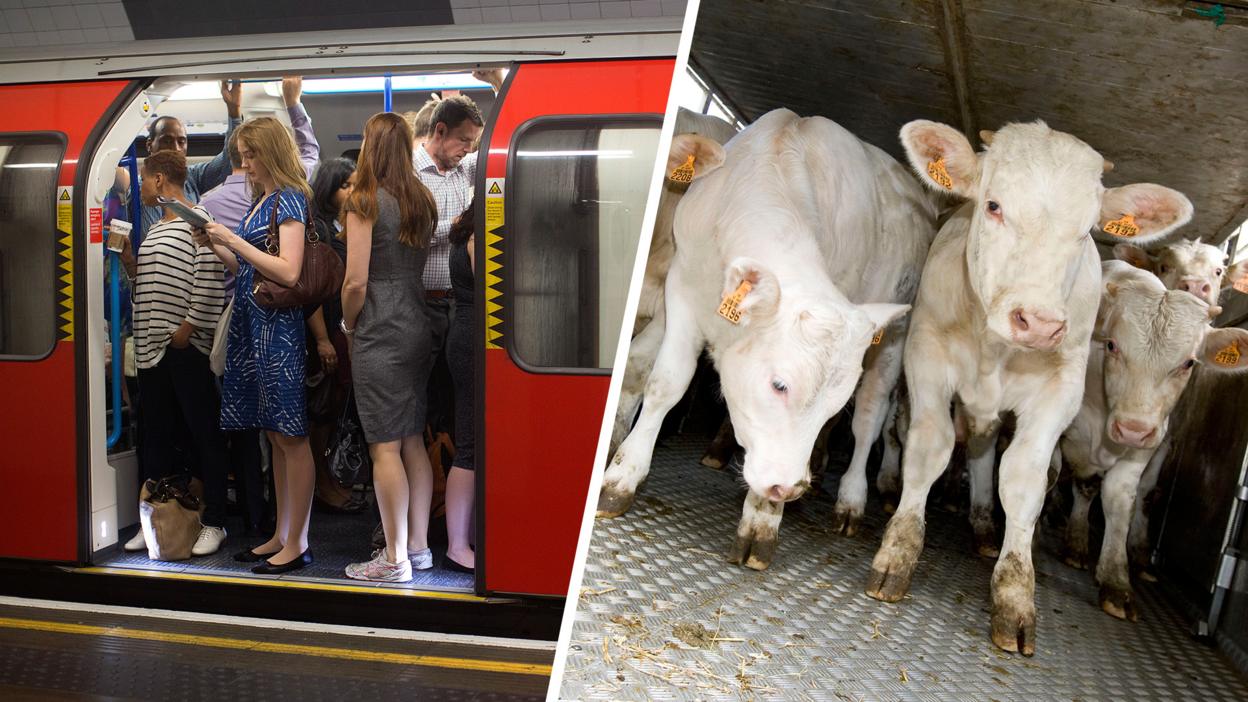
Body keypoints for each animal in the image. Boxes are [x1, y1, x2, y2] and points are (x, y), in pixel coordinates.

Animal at [865, 118, 1194, 656]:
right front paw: (897, 552)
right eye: (994, 205)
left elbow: (1023, 481)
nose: (1039, 322)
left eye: (1086, 231)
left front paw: (1016, 596)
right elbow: (928, 449)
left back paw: (983, 527)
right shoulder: (927, 358)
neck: (993, 349)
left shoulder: (1059, 391)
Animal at [1060, 261, 1248, 620]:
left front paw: (1116, 580)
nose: (1133, 428)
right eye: (1112, 345)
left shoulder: (1143, 449)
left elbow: (1119, 501)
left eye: (1188, 363)